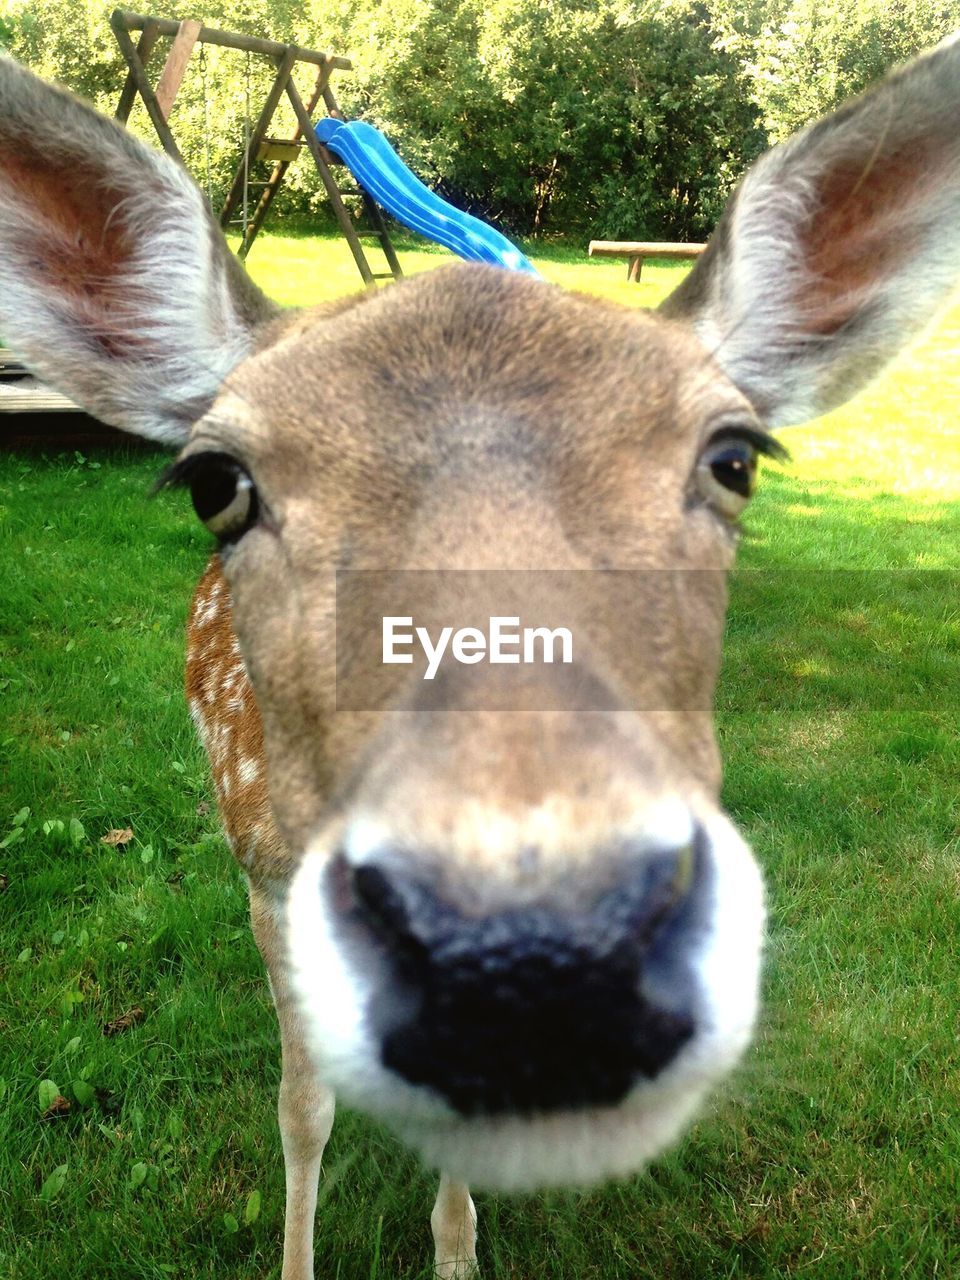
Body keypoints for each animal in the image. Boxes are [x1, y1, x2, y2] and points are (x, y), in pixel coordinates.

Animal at [1, 35, 960, 1280]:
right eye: (215, 479)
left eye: (736, 457)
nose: (535, 961)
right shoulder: (266, 870)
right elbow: (300, 1105)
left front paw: (457, 1249)